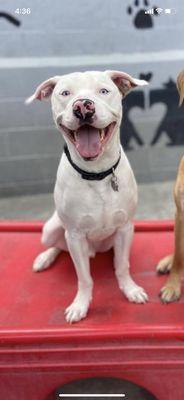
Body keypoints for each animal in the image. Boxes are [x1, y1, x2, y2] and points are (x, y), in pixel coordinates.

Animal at [27, 70, 148, 324]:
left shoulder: (125, 228)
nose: (83, 106)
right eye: (65, 93)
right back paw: (44, 258)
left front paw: (130, 289)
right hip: (51, 230)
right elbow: (84, 278)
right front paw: (80, 305)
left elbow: (122, 266)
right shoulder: (74, 235)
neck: (97, 173)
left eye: (103, 90)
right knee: (57, 245)